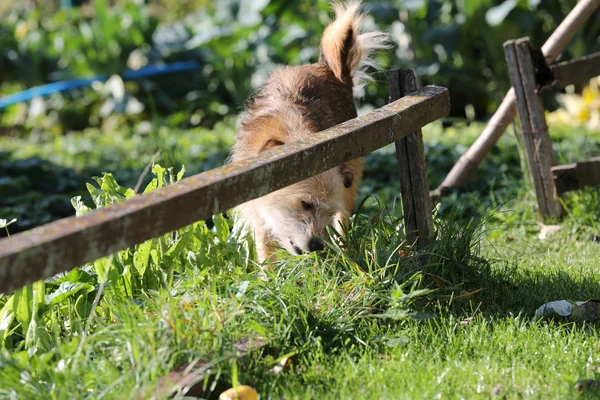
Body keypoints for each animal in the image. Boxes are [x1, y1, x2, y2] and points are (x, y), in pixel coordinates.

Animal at [230, 1, 390, 264]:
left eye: (325, 210)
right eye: (305, 204)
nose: (317, 246)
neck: (298, 136)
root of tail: (328, 69)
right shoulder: (256, 212)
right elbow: (265, 250)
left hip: (351, 182)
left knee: (343, 223)